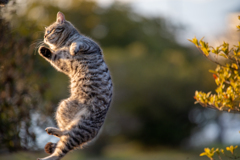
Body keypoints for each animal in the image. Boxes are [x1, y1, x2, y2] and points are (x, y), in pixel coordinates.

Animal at [37, 11, 113, 160]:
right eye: (45, 32)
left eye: (50, 30)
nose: (45, 36)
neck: (62, 45)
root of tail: (93, 135)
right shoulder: (61, 63)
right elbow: (53, 57)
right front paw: (43, 50)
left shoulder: (90, 44)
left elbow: (77, 43)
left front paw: (72, 49)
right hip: (63, 109)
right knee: (63, 135)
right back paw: (52, 132)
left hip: (76, 127)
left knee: (61, 148)